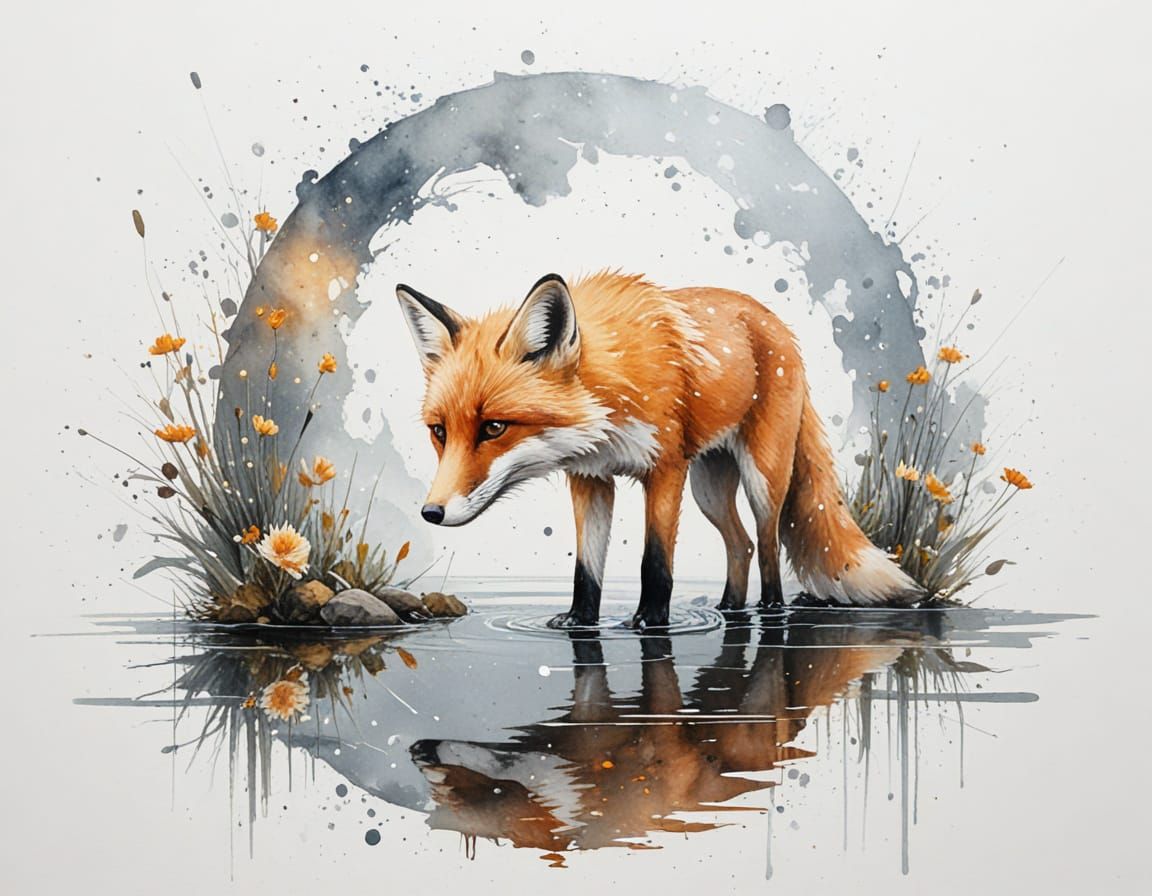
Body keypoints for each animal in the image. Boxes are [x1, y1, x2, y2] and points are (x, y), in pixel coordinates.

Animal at [396, 270, 921, 628]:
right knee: (742, 544)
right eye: (439, 431)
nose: (431, 513)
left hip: (760, 478)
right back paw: (729, 609)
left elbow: (656, 562)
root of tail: (776, 324)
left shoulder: (666, 467)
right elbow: (586, 568)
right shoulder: (590, 477)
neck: (612, 395)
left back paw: (770, 609)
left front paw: (650, 620)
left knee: (768, 544)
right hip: (709, 489)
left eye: (494, 428)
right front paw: (580, 621)